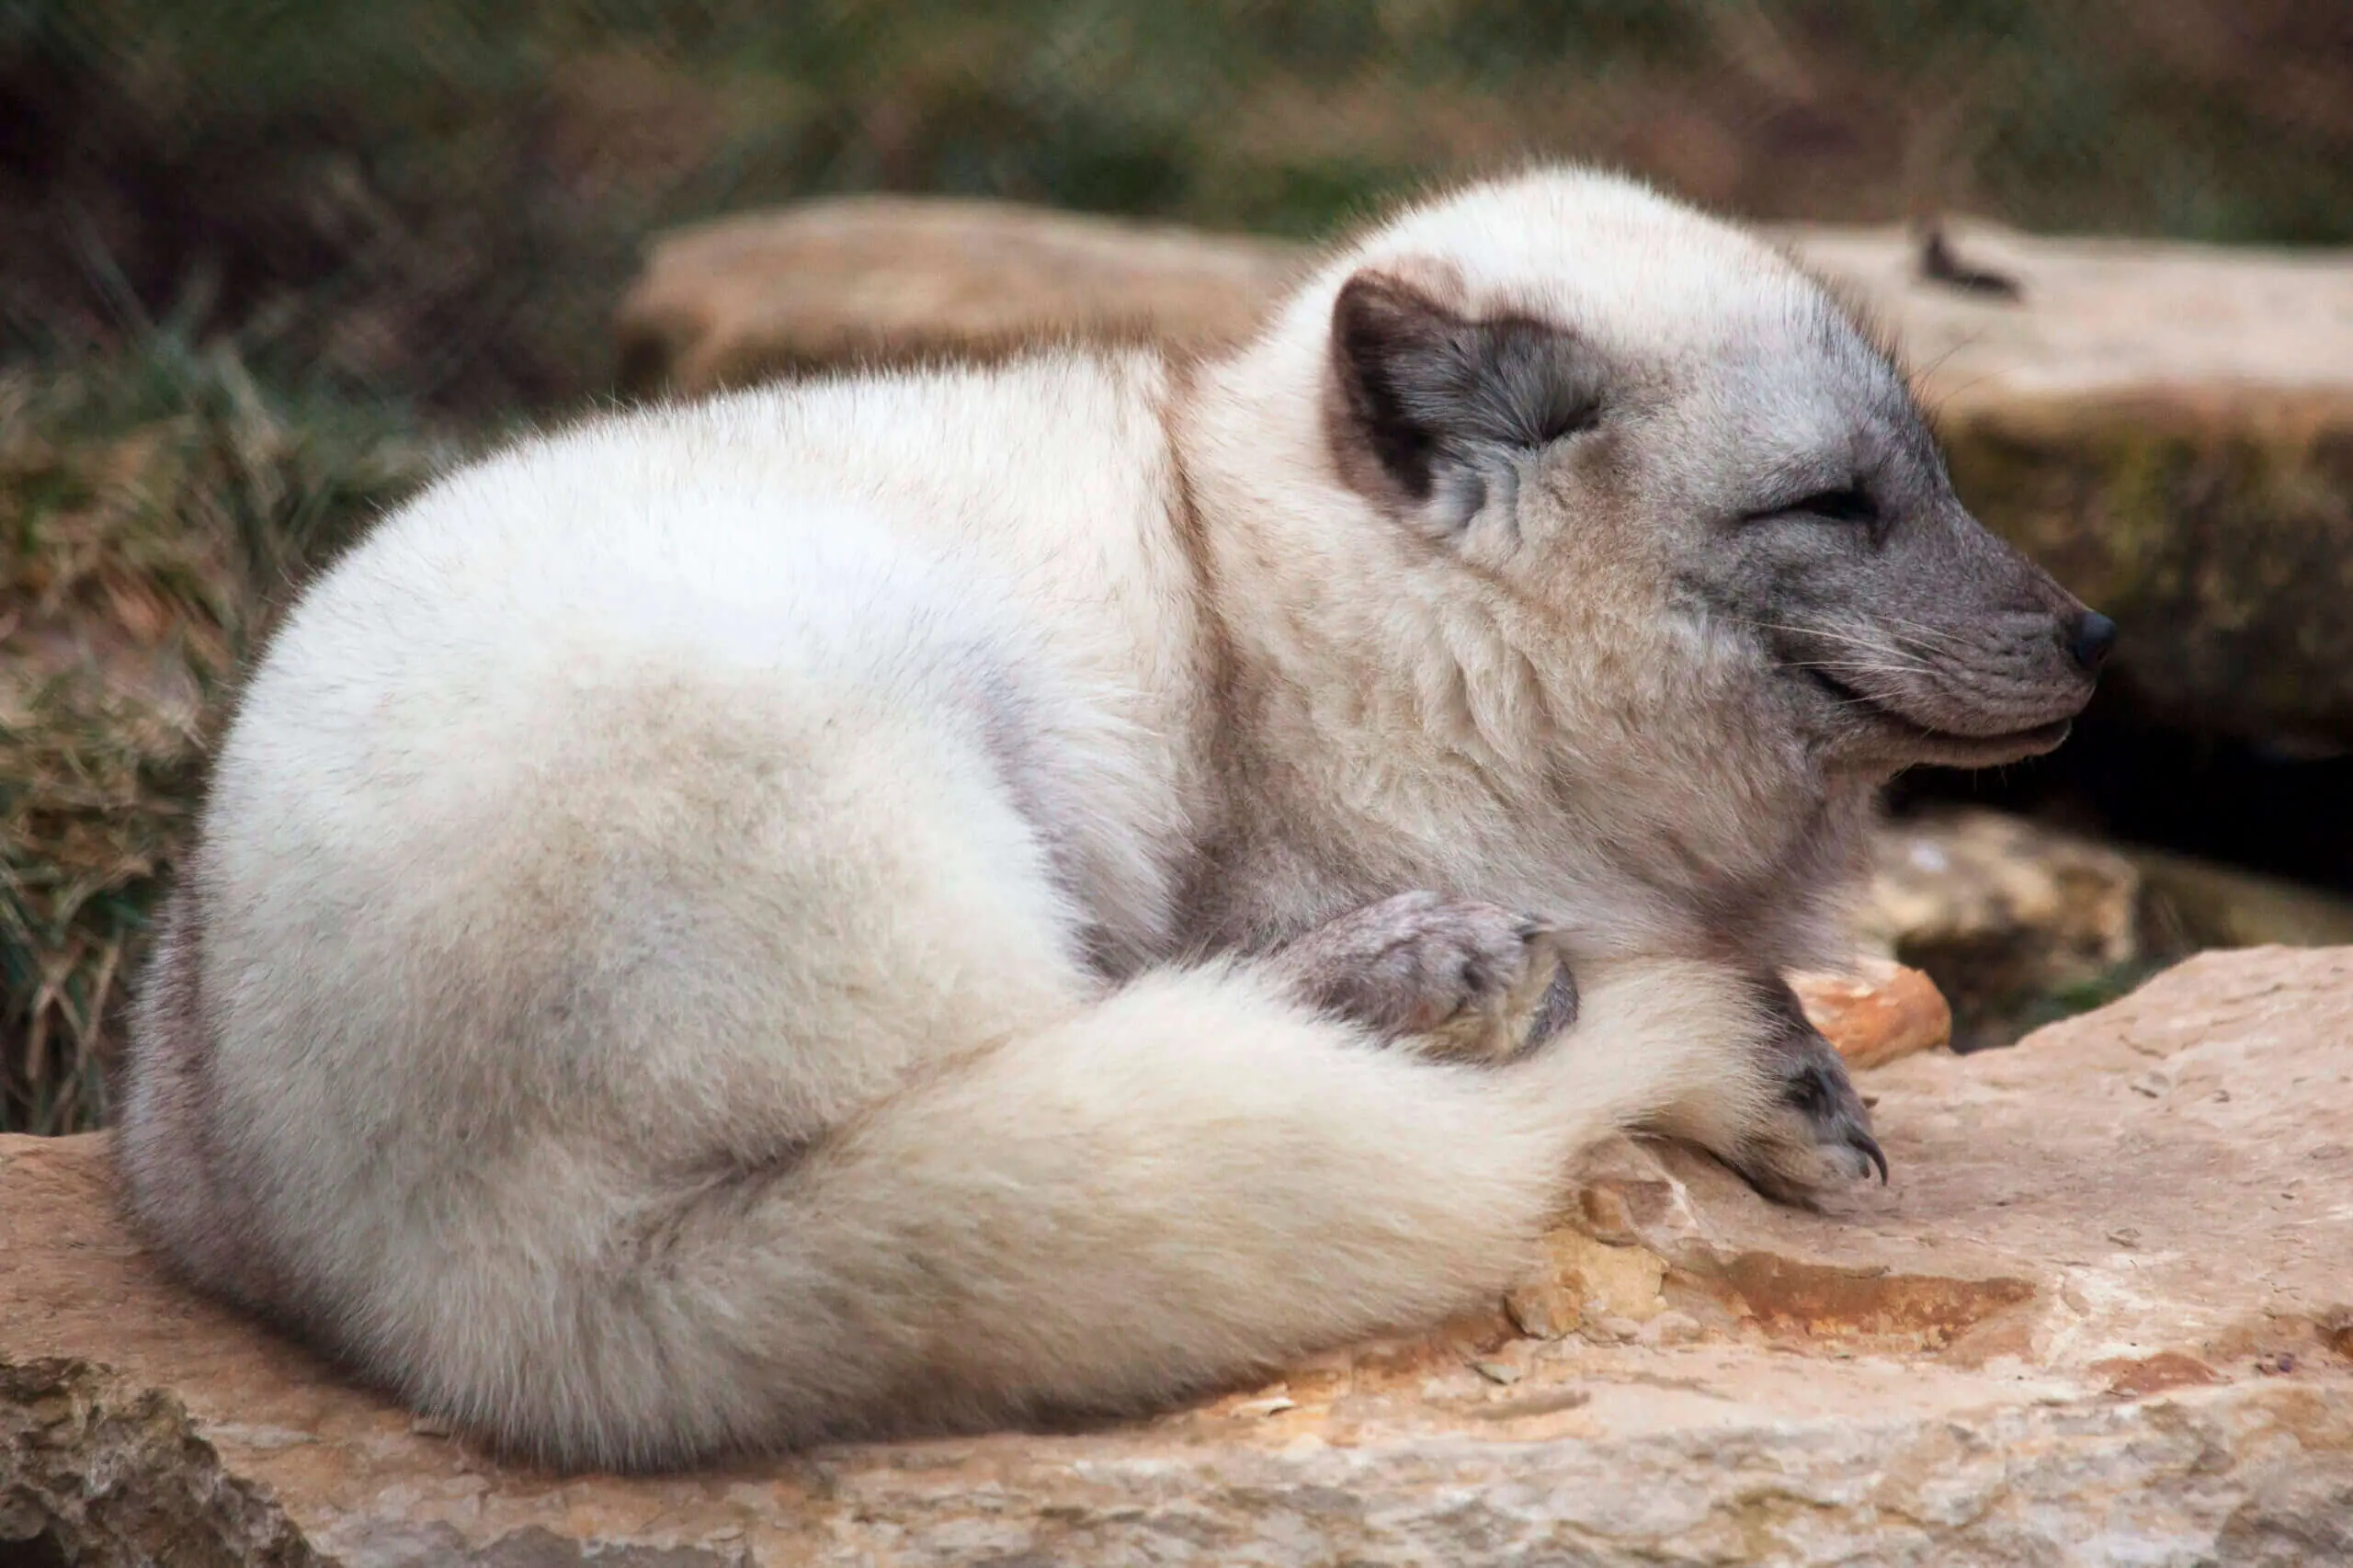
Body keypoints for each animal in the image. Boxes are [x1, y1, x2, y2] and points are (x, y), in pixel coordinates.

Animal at [114, 170, 2118, 1469]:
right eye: (1831, 504)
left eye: (1931, 476)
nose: (2096, 638)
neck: (1279, 590)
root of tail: (457, 1273)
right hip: (899, 741)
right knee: (1116, 1039)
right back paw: (1446, 975)